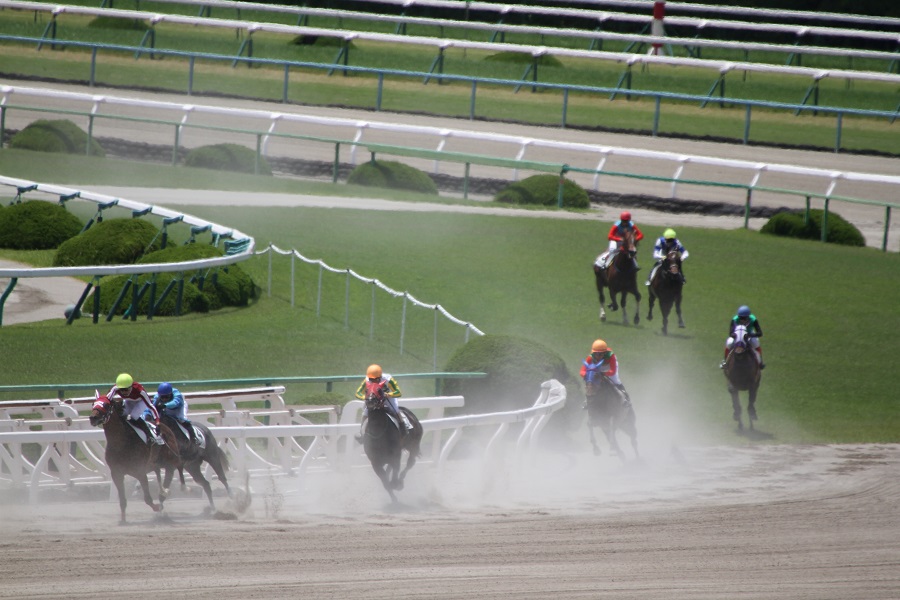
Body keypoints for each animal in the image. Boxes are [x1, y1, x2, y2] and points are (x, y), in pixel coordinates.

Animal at [88, 392, 181, 524]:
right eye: (93, 404)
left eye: (106, 405)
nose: (93, 418)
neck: (120, 443)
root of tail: (165, 427)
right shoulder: (117, 473)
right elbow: (122, 500)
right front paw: (123, 520)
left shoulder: (140, 472)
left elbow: (147, 498)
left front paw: (156, 507)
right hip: (155, 465)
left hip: (170, 464)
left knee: (166, 482)